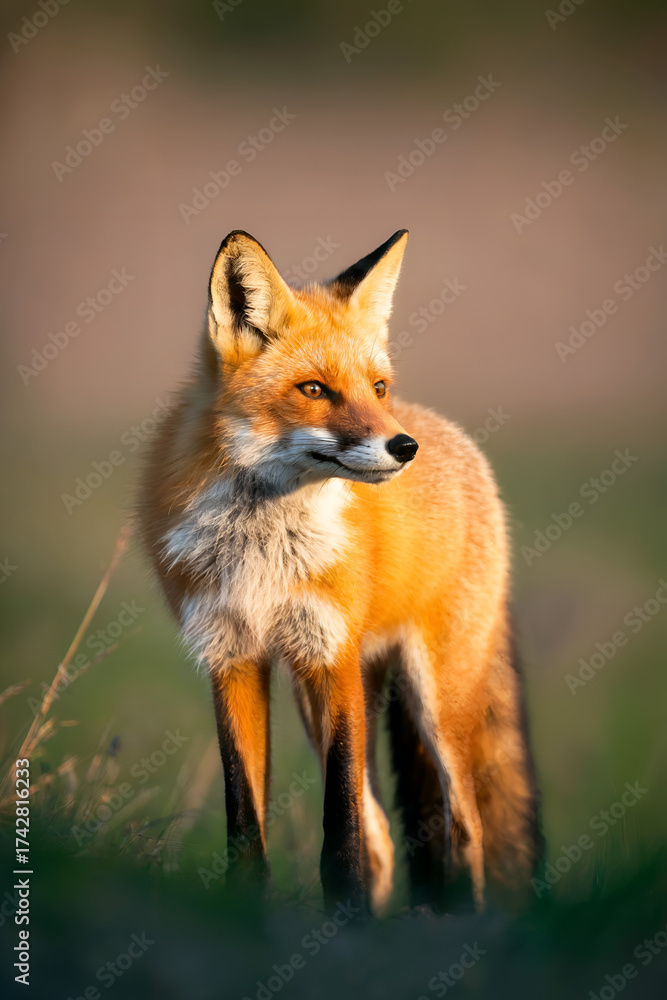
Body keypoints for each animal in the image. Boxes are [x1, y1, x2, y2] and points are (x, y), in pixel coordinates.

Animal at [137, 229, 542, 915]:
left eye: (375, 387)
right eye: (314, 390)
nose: (404, 448)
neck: (261, 546)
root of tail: (453, 436)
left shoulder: (334, 655)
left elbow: (341, 832)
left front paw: (345, 918)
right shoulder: (232, 656)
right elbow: (247, 823)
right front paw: (251, 917)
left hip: (438, 700)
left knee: (466, 830)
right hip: (318, 696)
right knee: (383, 834)